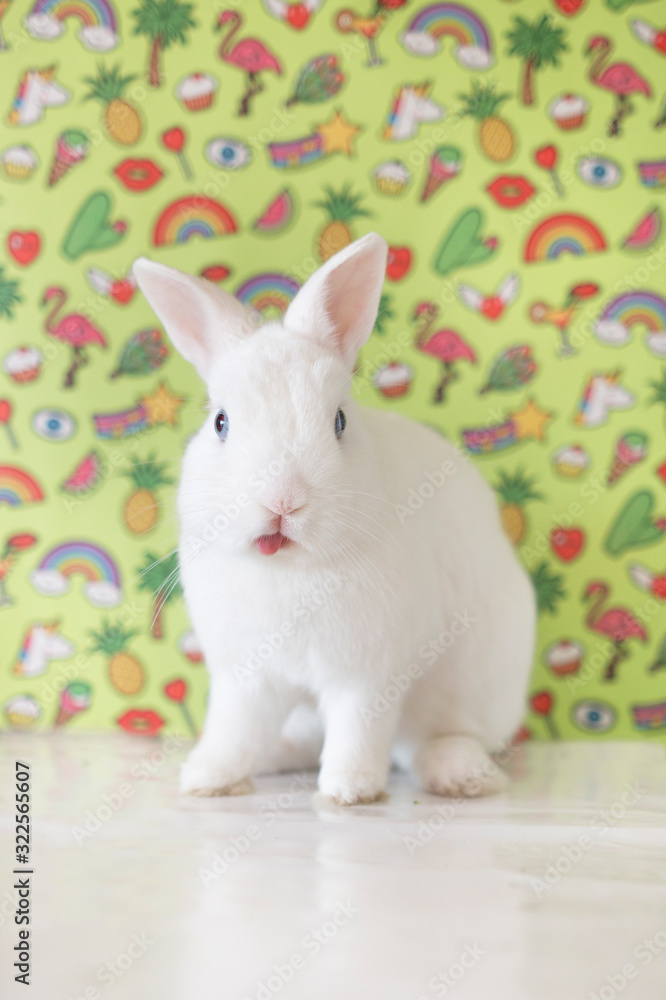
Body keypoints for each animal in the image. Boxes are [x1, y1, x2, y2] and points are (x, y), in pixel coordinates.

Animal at [133, 233, 535, 805]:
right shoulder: (245, 678)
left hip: (468, 689)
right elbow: (233, 730)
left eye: (340, 422)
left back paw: (462, 775)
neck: (288, 569)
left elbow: (359, 728)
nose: (282, 501)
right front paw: (209, 778)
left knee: (434, 740)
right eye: (221, 423)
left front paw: (349, 790)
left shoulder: (367, 676)